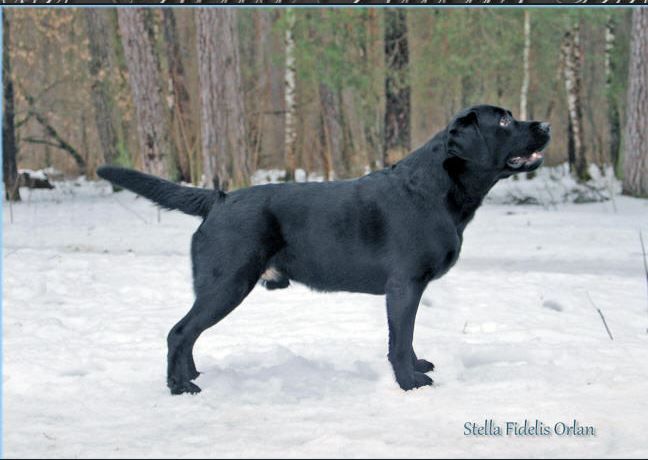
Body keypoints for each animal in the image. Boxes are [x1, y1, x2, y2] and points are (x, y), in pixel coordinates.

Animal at [97, 104, 551, 395]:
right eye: (505, 119)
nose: (546, 123)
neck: (437, 189)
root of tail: (219, 199)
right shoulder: (404, 285)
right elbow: (400, 340)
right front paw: (410, 383)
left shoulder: (408, 289)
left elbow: (407, 339)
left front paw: (417, 367)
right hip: (228, 283)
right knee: (179, 332)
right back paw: (180, 387)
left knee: (189, 334)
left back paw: (193, 375)